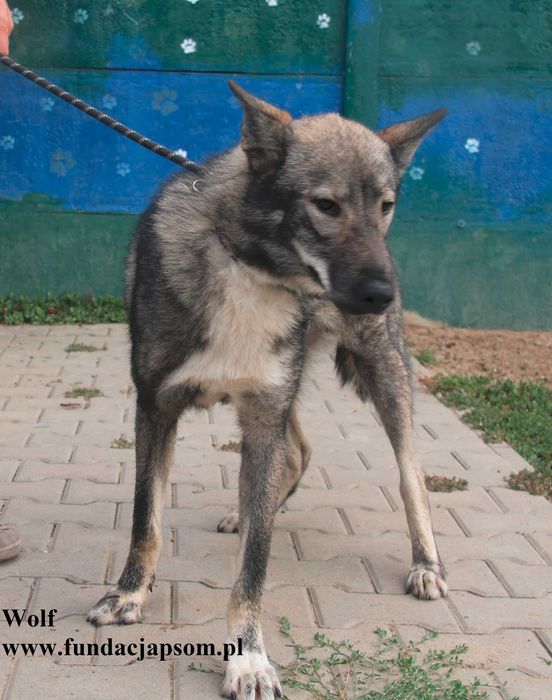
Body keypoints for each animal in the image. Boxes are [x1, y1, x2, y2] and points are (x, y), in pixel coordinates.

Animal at [87, 81, 447, 699]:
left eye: (385, 206)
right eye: (326, 205)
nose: (382, 294)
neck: (250, 268)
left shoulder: (262, 417)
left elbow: (254, 565)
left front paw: (248, 657)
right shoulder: (157, 409)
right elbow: (145, 520)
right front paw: (129, 594)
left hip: (382, 378)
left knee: (410, 477)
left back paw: (425, 562)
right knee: (298, 451)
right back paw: (252, 508)